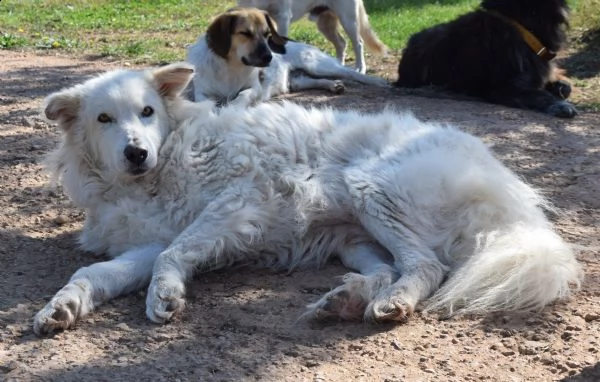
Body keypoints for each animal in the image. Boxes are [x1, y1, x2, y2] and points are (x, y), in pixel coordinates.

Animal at [32, 62, 580, 334]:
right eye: (104, 119)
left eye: (147, 111)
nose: (136, 152)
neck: (165, 162)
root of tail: (513, 194)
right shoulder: (146, 242)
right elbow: (93, 273)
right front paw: (62, 307)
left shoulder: (240, 202)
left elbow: (175, 252)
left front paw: (165, 295)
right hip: (354, 237)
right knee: (391, 268)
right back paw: (346, 300)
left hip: (368, 189)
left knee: (426, 266)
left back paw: (390, 304)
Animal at [237, 0, 386, 74]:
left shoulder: (282, 17)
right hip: (325, 24)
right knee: (341, 43)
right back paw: (338, 65)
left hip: (348, 19)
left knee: (358, 43)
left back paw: (360, 68)